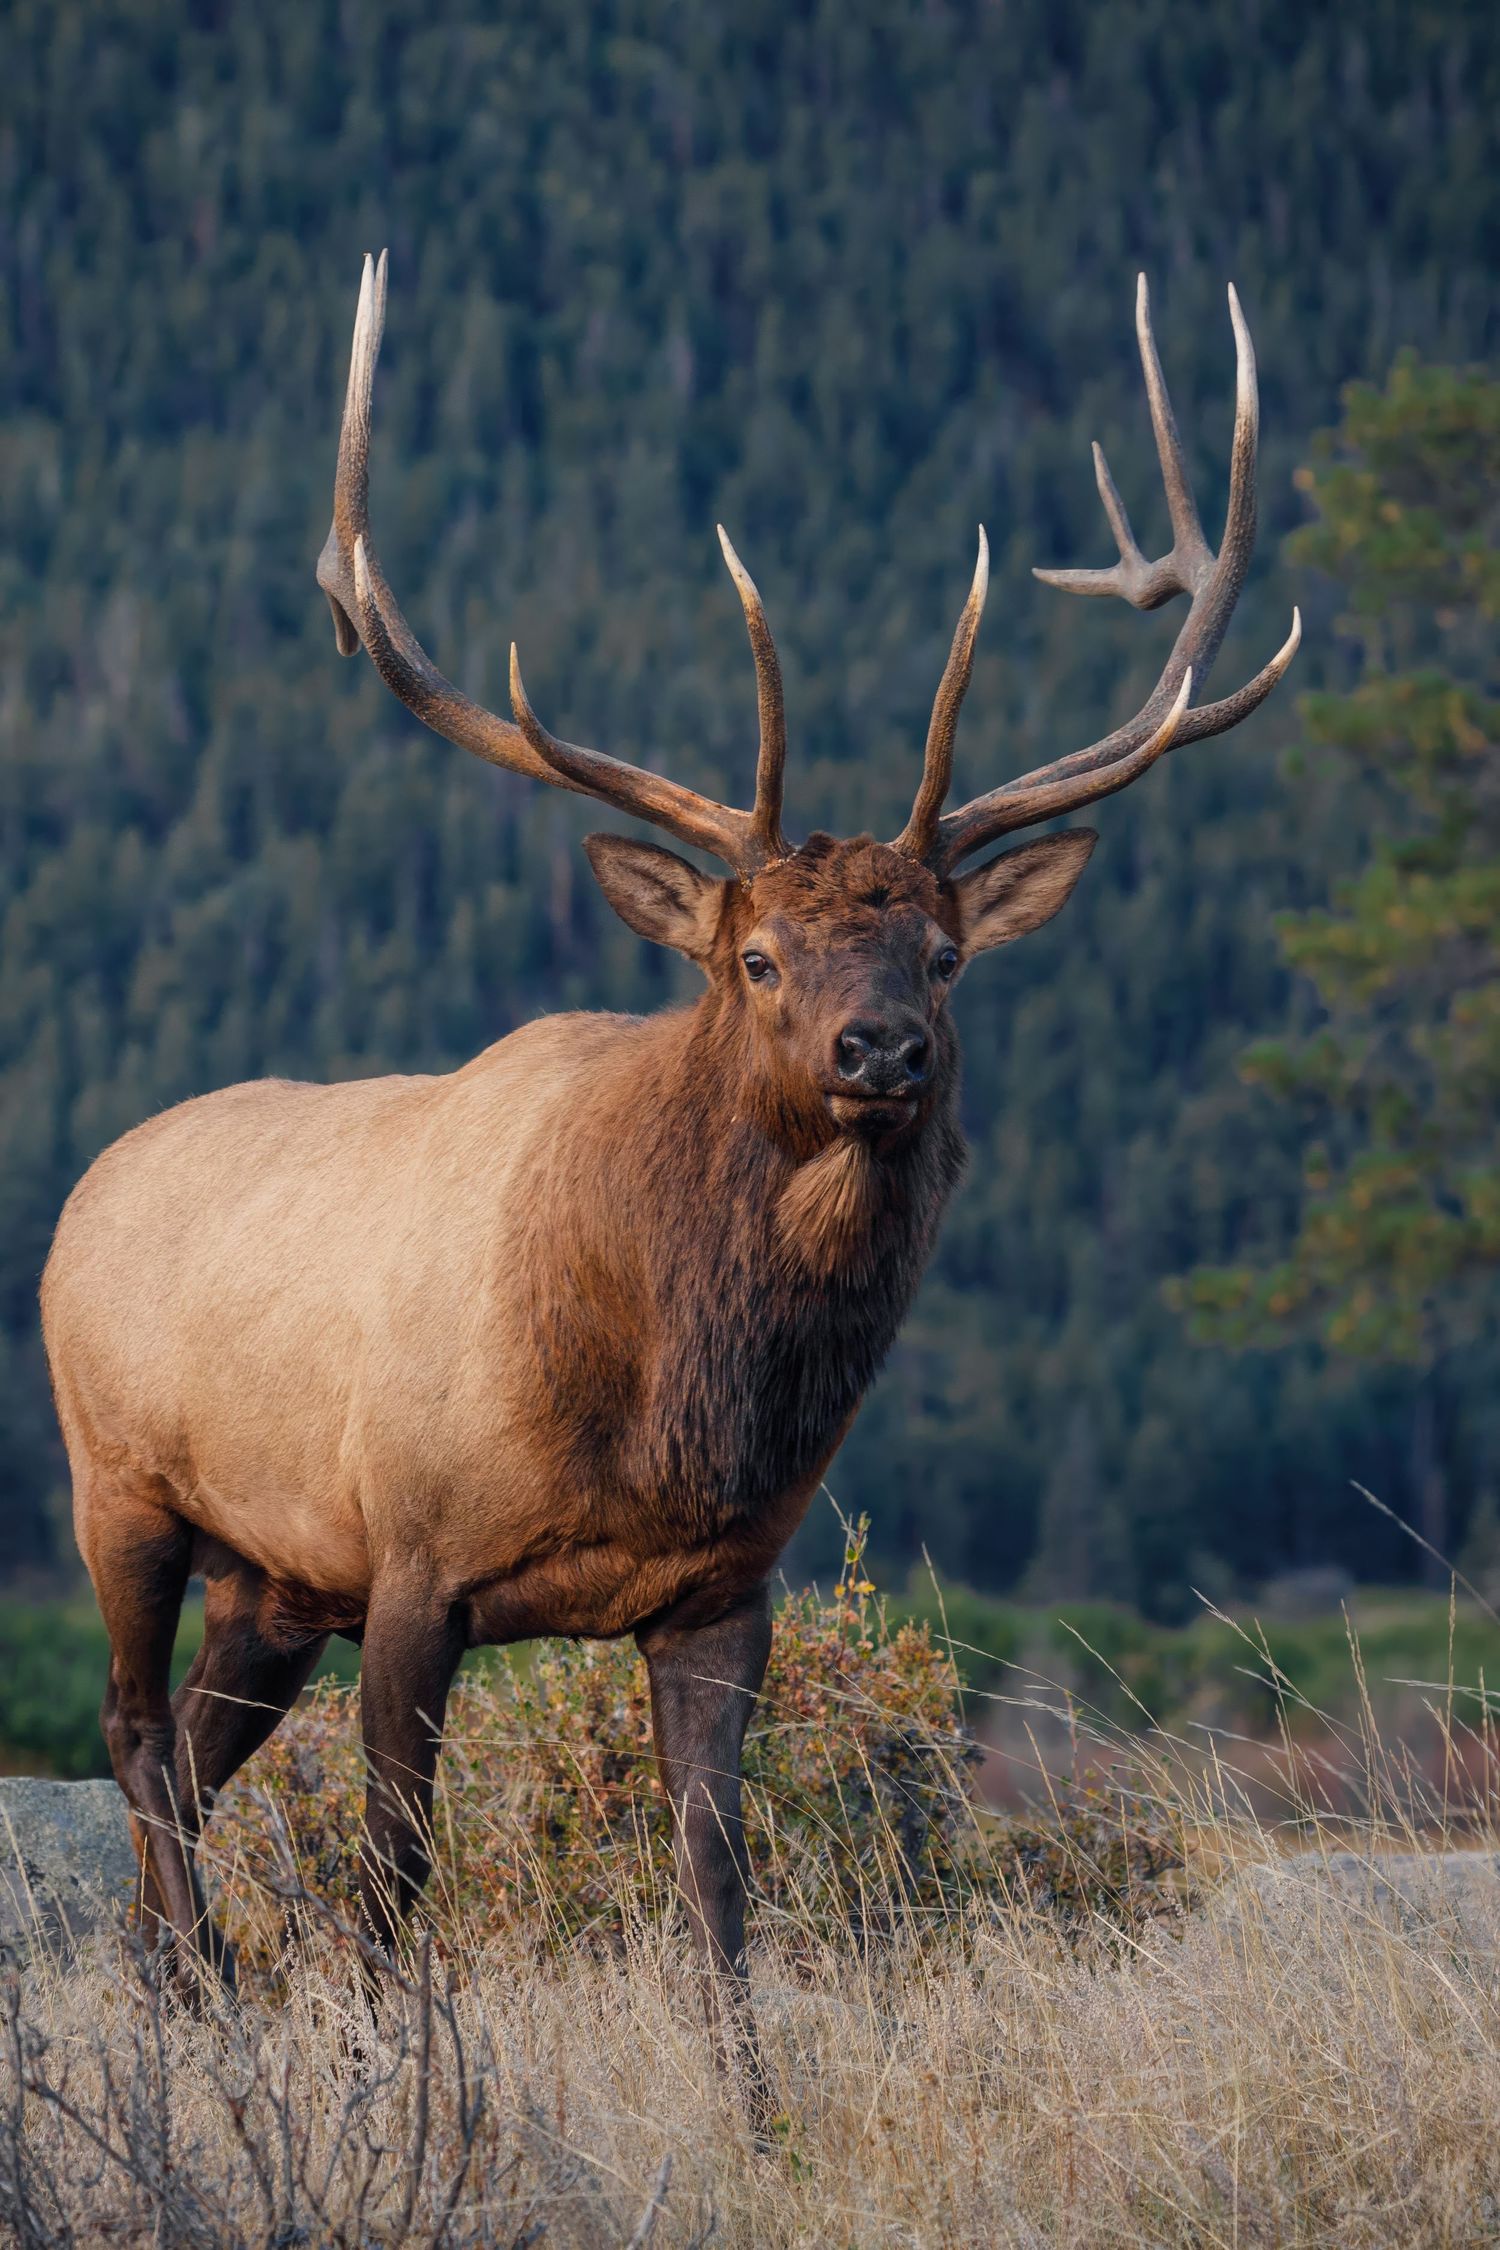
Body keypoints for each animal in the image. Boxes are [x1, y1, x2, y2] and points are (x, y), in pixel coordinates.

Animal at [41, 259, 1297, 2100]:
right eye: (756, 957)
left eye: (941, 956)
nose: (878, 1049)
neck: (669, 1406)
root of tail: (81, 1193)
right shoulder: (414, 1557)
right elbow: (394, 1864)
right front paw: (390, 2080)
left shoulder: (722, 1591)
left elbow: (719, 1879)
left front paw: (755, 2111)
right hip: (123, 1486)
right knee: (135, 1741)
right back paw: (199, 1981)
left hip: (272, 1577)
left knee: (190, 1760)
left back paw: (164, 2002)